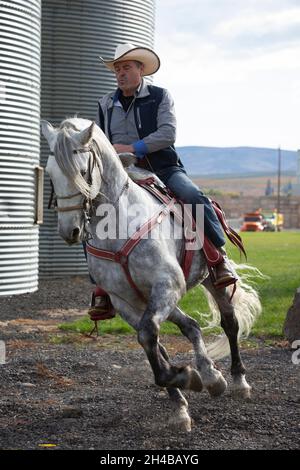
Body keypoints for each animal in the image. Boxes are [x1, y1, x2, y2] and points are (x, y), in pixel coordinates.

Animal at [41, 116, 260, 430]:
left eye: (82, 171)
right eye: (50, 173)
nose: (69, 230)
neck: (119, 226)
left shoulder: (167, 284)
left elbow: (149, 336)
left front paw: (187, 378)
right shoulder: (127, 302)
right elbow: (153, 343)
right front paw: (182, 396)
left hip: (210, 282)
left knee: (229, 323)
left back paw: (238, 381)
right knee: (191, 325)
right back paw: (209, 375)